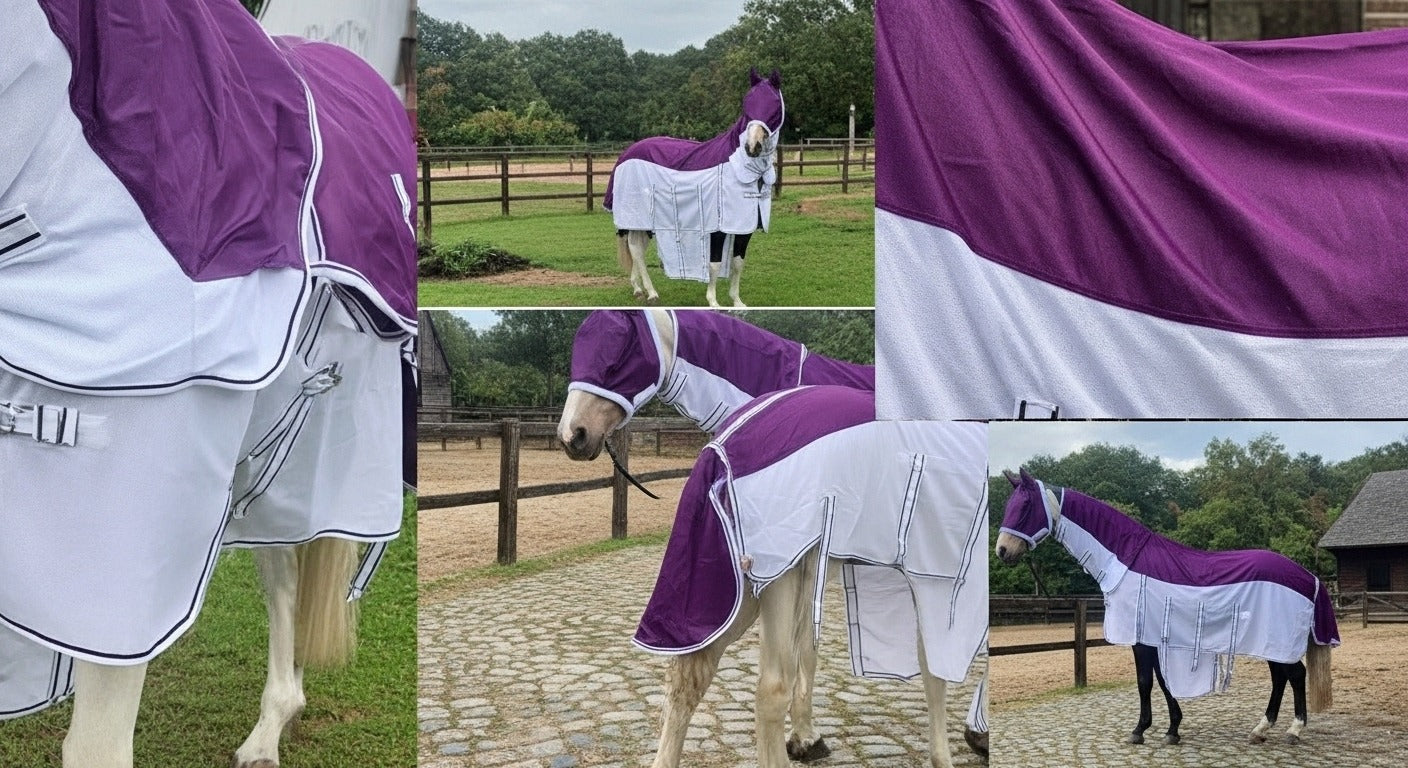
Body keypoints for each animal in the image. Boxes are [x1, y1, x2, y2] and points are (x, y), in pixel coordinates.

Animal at [603, 68, 784, 308]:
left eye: (774, 106)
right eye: (747, 105)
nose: (751, 147)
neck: (738, 166)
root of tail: (626, 154)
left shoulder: (745, 227)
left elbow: (737, 263)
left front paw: (737, 302)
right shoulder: (718, 227)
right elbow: (715, 264)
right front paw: (713, 302)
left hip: (644, 222)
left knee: (637, 248)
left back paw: (638, 289)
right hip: (634, 215)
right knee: (637, 251)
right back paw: (651, 293)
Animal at [631, 385, 988, 768]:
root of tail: (722, 449)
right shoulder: (944, 585)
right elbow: (939, 672)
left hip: (737, 593)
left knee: (688, 679)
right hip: (777, 579)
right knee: (771, 688)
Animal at [994, 468, 1339, 746]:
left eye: (1025, 506)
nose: (1002, 550)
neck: (1126, 561)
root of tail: (1309, 577)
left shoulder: (1141, 638)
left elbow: (1146, 682)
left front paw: (1140, 731)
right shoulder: (1157, 637)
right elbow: (1161, 681)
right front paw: (1172, 730)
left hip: (1277, 641)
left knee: (1295, 675)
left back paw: (1293, 731)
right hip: (1269, 643)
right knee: (1281, 678)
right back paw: (1261, 730)